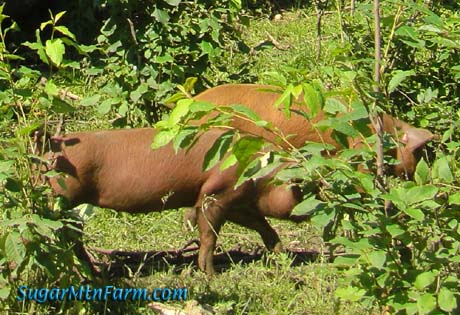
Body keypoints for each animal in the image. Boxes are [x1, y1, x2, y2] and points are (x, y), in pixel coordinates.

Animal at [47, 127, 302, 276]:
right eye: (299, 188)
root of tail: (53, 147)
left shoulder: (236, 202)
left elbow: (262, 225)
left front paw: (283, 257)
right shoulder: (215, 195)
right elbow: (209, 236)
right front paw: (211, 275)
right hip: (66, 196)